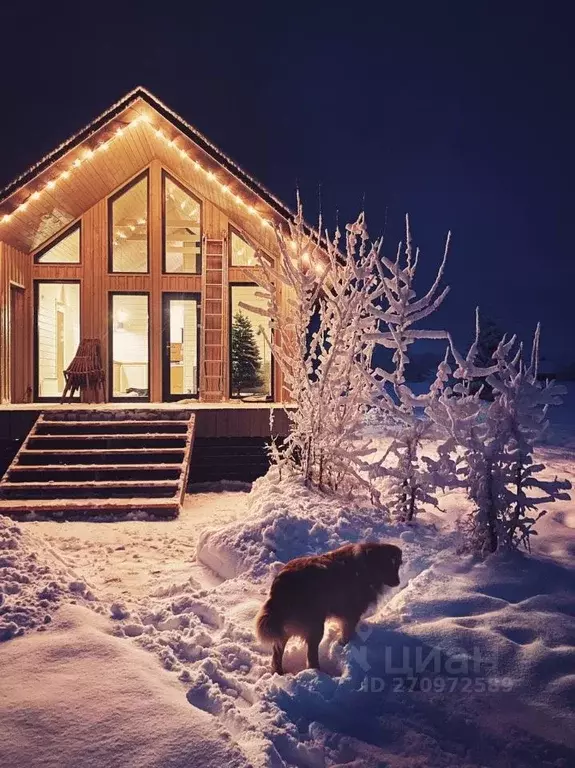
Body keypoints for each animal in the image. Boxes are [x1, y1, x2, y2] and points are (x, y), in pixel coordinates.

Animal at [254, 540, 402, 672]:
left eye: (397, 566)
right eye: (386, 565)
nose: (398, 582)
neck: (365, 566)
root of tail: (282, 582)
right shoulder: (351, 614)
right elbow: (347, 634)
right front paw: (345, 646)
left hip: (284, 626)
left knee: (278, 650)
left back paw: (279, 672)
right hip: (315, 625)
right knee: (311, 655)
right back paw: (318, 673)